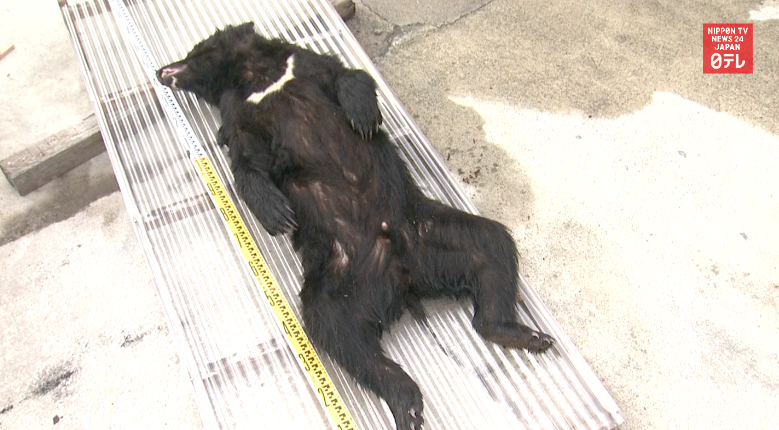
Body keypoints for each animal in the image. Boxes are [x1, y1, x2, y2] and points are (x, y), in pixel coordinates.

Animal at [157, 22, 554, 430]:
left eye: (193, 52)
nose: (160, 71)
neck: (258, 75)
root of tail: (405, 280)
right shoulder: (240, 110)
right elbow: (245, 156)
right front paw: (278, 213)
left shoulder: (302, 64)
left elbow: (348, 76)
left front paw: (363, 116)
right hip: (340, 277)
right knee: (337, 331)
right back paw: (407, 401)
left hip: (430, 230)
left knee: (491, 244)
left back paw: (520, 333)